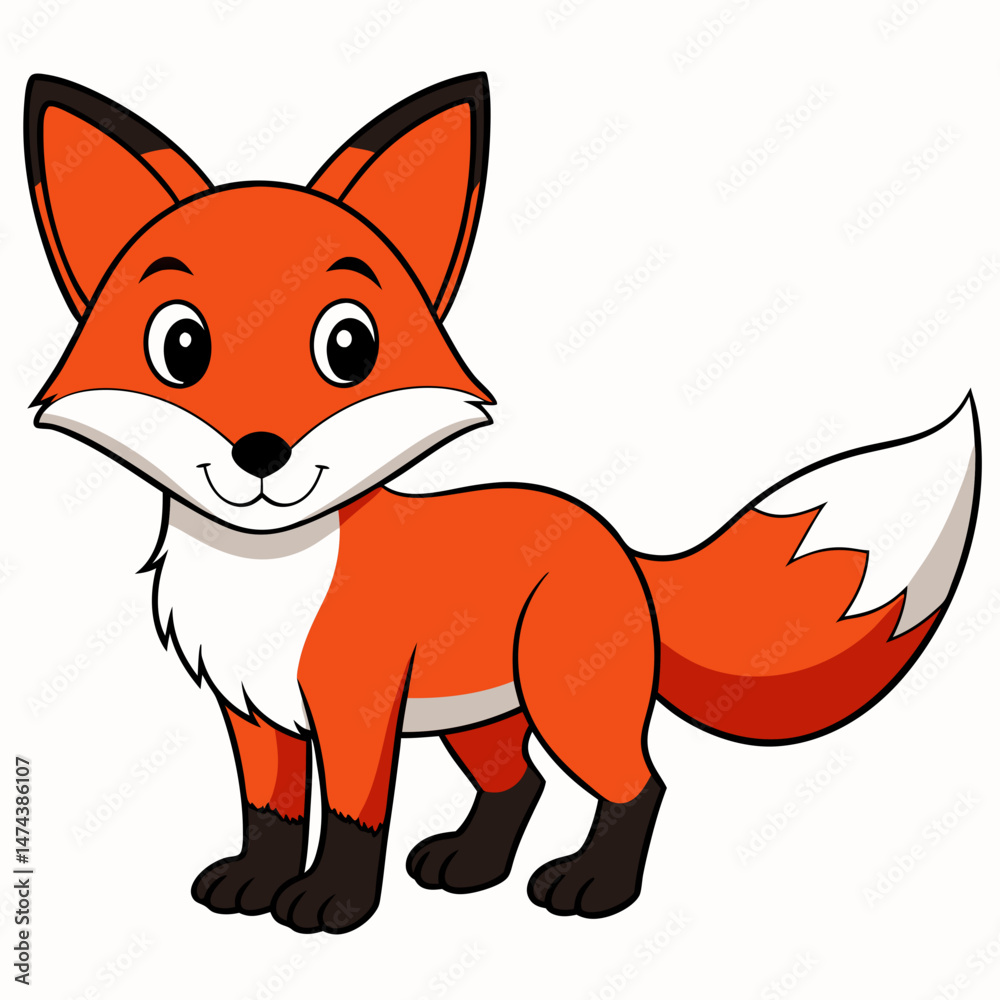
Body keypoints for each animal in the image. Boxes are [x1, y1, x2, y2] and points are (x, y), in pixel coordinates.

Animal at [24, 72, 980, 934]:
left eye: (348, 345)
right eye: (181, 346)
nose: (261, 452)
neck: (268, 572)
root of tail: (616, 543)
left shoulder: (355, 707)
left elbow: (353, 820)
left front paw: (333, 906)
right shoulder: (255, 713)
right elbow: (271, 814)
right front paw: (254, 886)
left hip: (568, 703)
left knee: (640, 784)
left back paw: (593, 887)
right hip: (481, 715)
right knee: (520, 782)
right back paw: (472, 865)